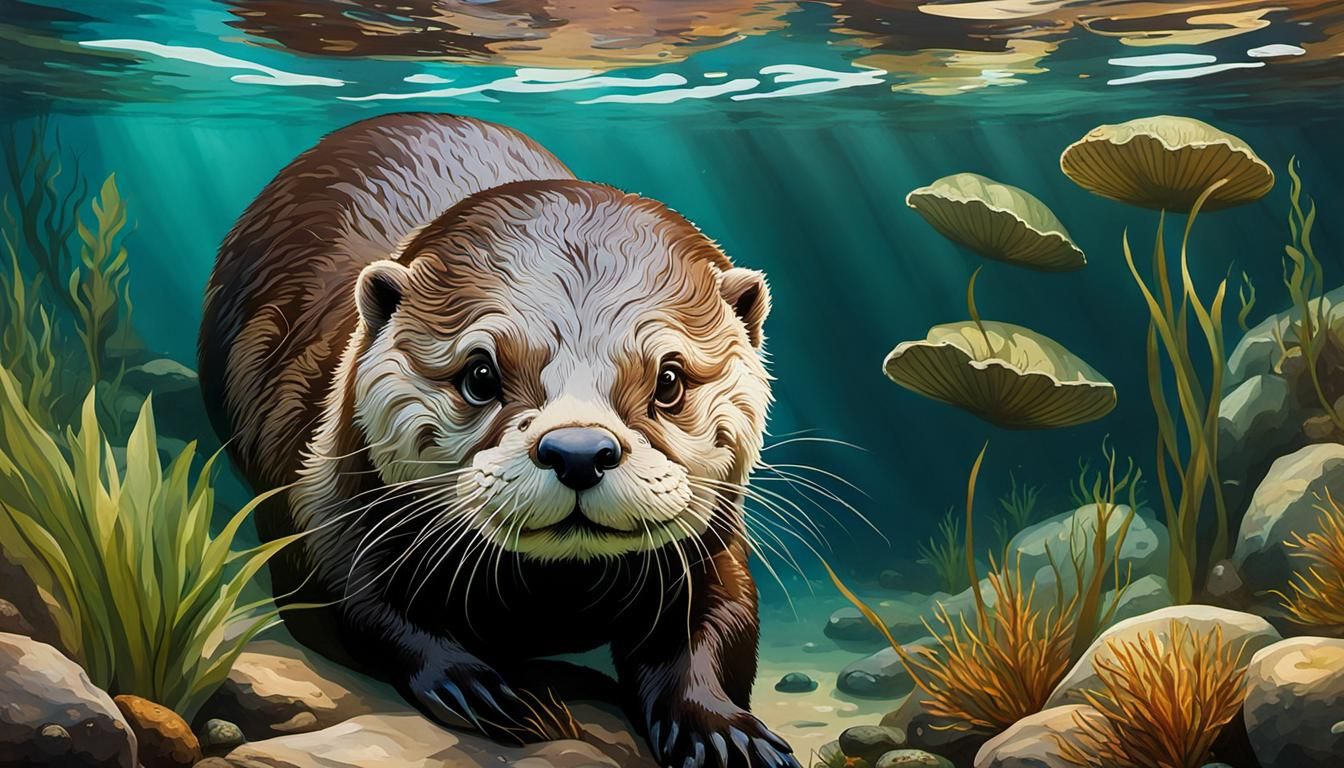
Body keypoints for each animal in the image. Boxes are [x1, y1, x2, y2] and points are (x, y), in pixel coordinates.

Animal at [198, 114, 798, 768]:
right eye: (481, 374)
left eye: (669, 380)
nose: (579, 452)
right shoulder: (316, 499)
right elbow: (348, 603)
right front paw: (487, 691)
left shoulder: (712, 548)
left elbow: (719, 622)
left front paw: (722, 730)